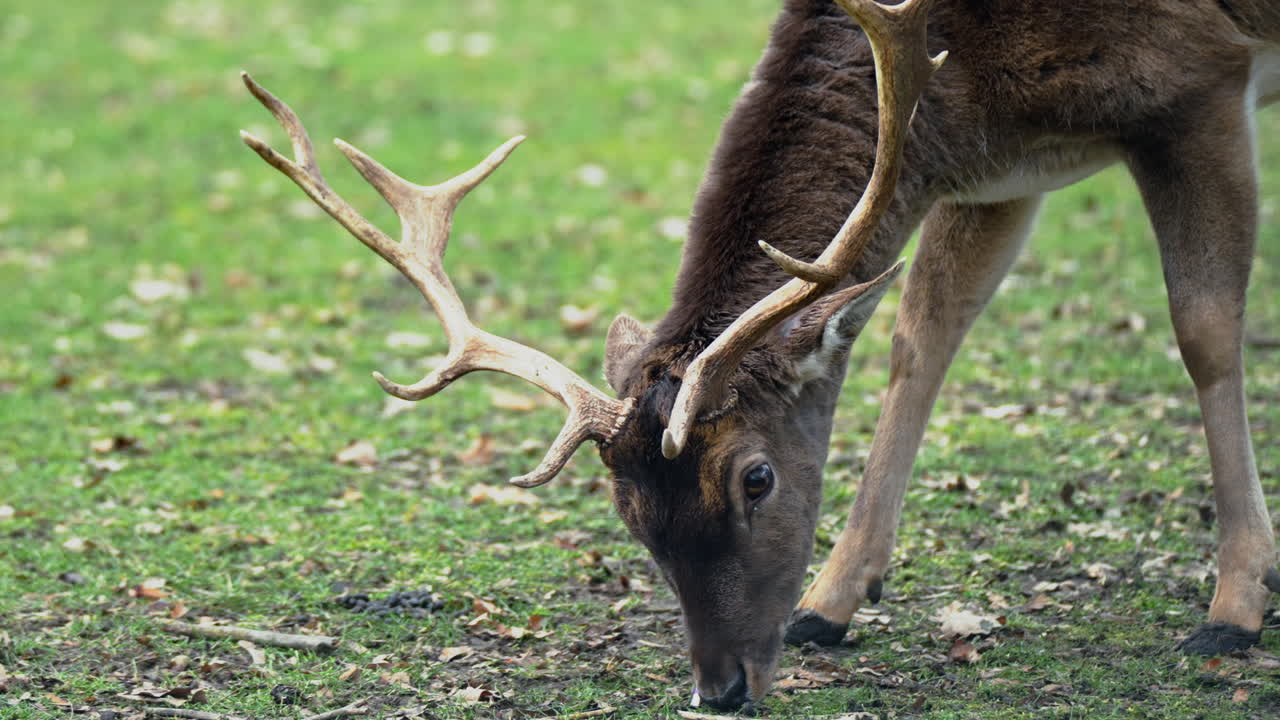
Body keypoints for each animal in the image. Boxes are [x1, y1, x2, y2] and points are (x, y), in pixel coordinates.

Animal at [240, 0, 1280, 712]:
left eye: (757, 479)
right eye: (628, 514)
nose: (720, 690)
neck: (956, 65)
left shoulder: (1201, 83)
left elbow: (1205, 330)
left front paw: (1234, 605)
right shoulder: (998, 164)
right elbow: (922, 334)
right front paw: (834, 601)